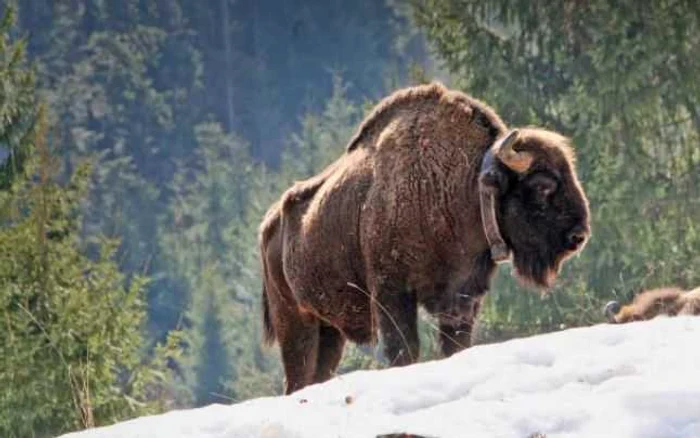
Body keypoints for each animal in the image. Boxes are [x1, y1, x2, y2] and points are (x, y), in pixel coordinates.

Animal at [260, 82, 588, 394]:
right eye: (543, 184)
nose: (579, 235)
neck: (465, 184)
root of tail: (269, 225)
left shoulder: (462, 298)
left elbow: (455, 345)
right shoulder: (392, 293)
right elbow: (403, 350)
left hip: (329, 330)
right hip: (295, 322)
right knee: (298, 376)